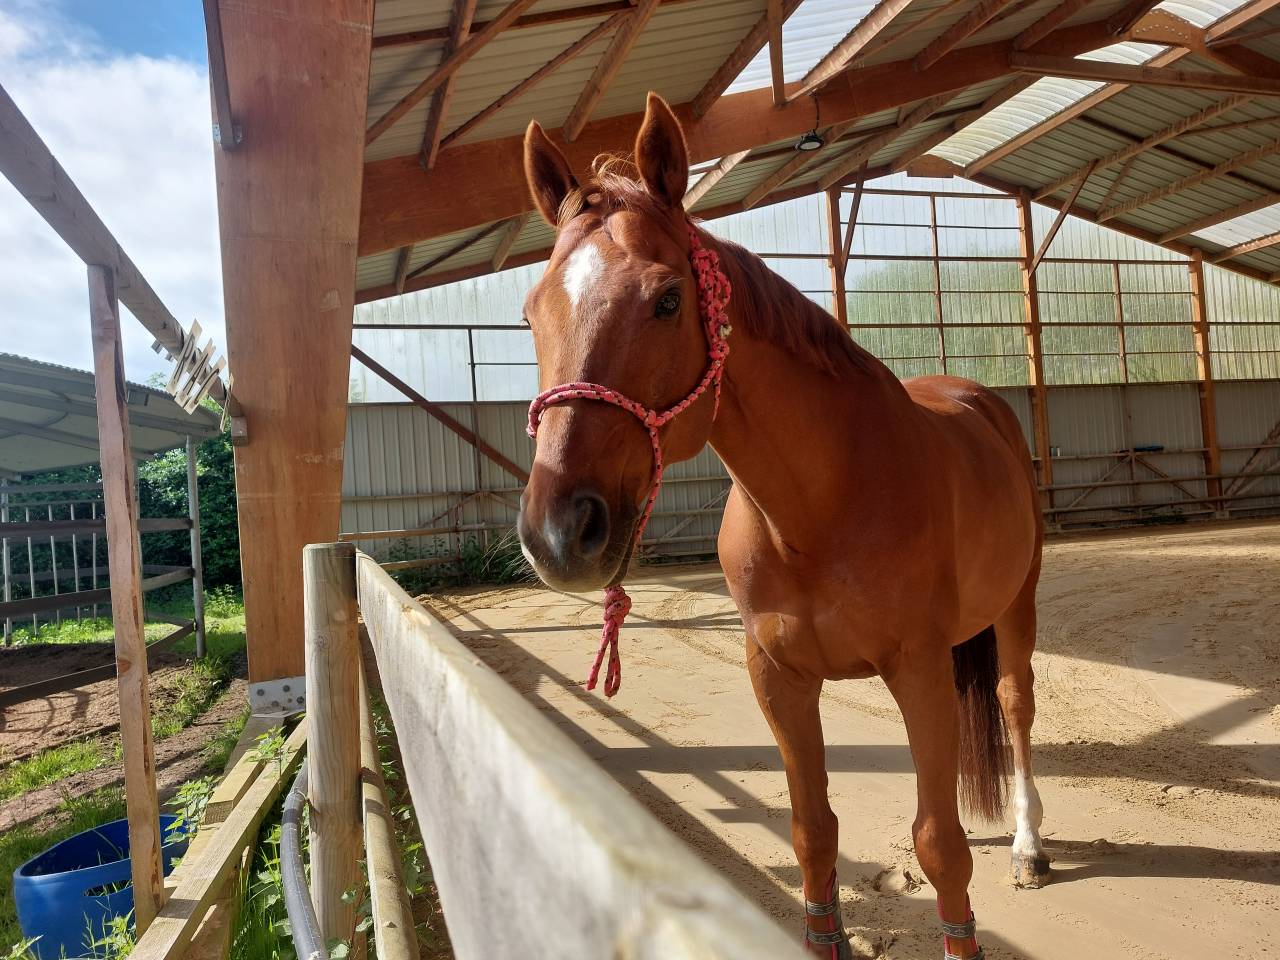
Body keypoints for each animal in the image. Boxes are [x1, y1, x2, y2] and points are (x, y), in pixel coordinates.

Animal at [516, 93, 1048, 960]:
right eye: (531, 314)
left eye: (667, 299)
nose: (560, 532)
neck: (821, 508)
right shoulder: (778, 677)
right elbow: (813, 835)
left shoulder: (919, 670)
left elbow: (941, 847)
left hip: (1015, 610)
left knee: (1015, 705)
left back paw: (1032, 846)